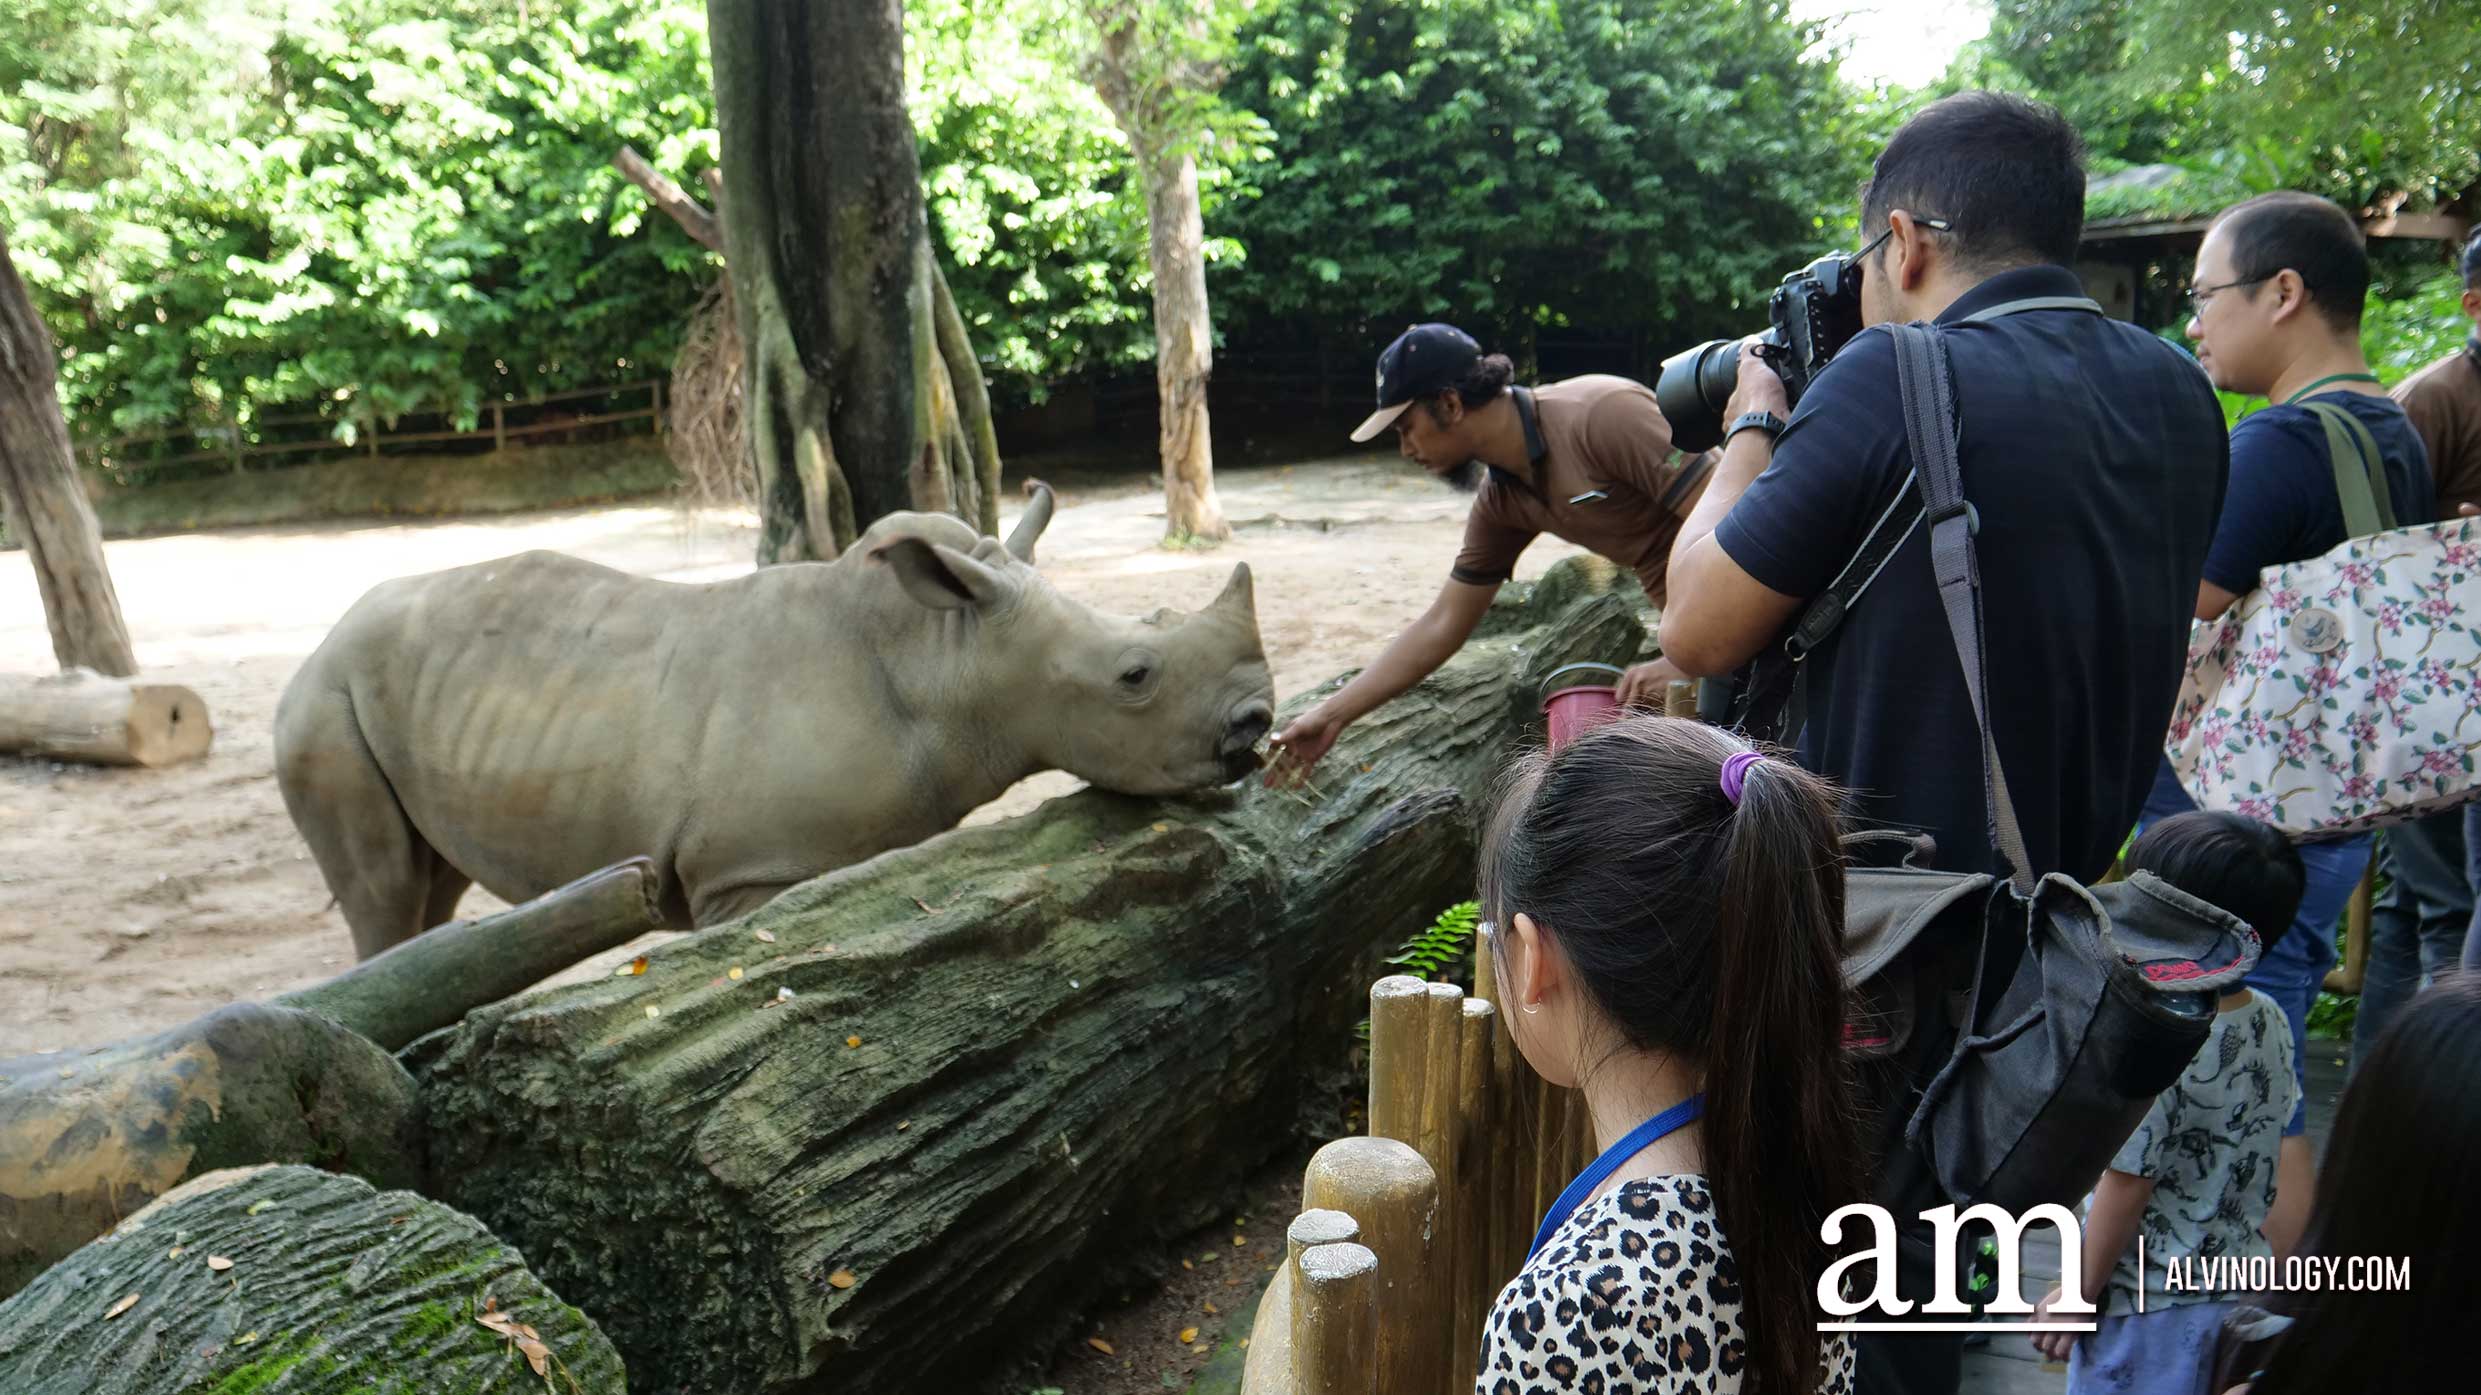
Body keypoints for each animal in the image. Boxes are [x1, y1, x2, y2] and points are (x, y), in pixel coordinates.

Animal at [274, 486, 1275, 957]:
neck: (948, 654)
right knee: (384, 892)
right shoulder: (748, 868)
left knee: (431, 879)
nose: (1254, 726)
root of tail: (320, 640)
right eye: (1134, 675)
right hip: (321, 704)